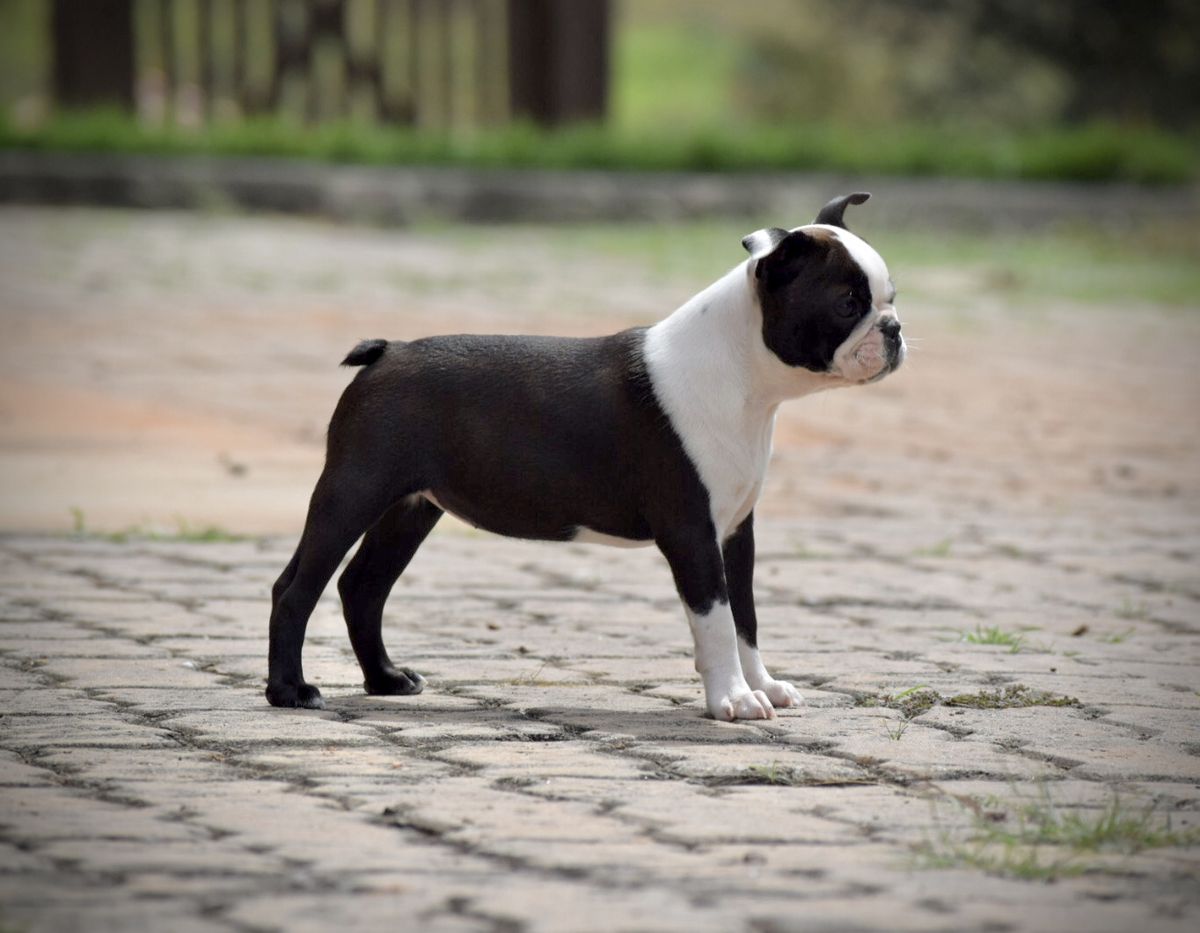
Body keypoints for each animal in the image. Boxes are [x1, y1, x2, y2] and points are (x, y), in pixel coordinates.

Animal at [267, 190, 902, 719]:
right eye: (848, 305)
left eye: (891, 298)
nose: (894, 328)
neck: (746, 378)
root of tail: (387, 353)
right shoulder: (692, 532)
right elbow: (717, 621)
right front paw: (733, 701)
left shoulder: (734, 532)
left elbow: (745, 618)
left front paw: (762, 686)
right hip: (355, 487)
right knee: (296, 587)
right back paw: (290, 692)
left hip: (411, 507)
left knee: (363, 587)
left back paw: (386, 680)